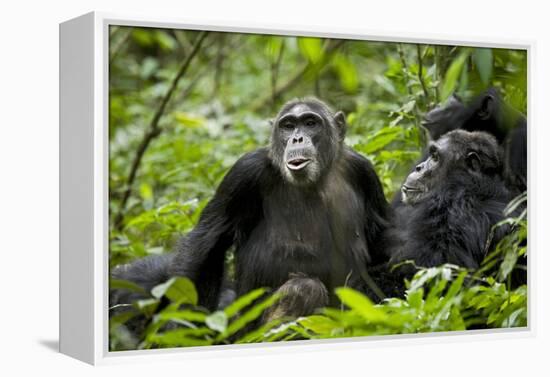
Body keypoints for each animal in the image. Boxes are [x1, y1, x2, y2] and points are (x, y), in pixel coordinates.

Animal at [111, 97, 392, 326]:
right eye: (288, 126)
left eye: (311, 123)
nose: (297, 138)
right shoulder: (244, 173)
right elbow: (206, 244)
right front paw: (183, 326)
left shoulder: (364, 172)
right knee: (304, 288)